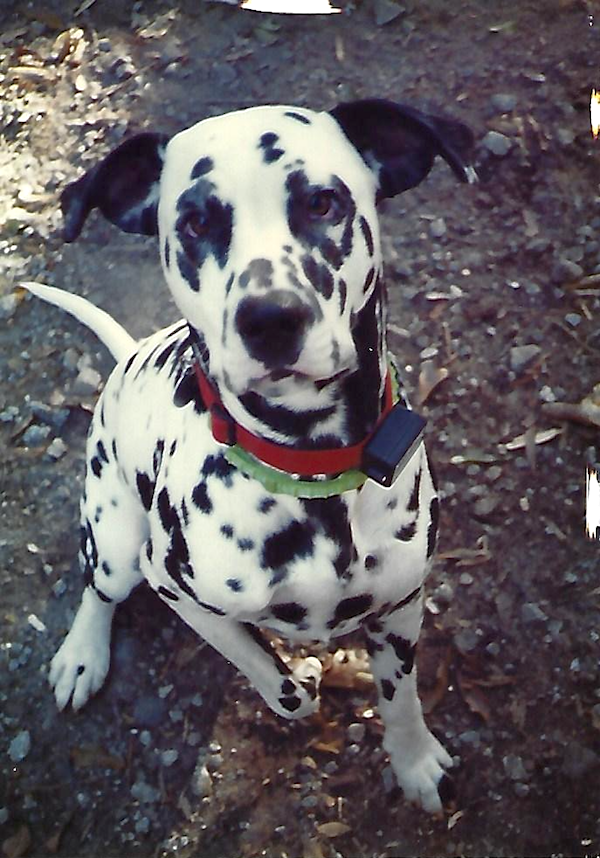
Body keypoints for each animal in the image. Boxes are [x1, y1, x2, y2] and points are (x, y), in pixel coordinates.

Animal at [23, 98, 476, 808]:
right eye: (196, 222)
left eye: (322, 202)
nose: (270, 318)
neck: (308, 469)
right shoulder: (176, 589)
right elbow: (272, 675)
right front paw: (296, 684)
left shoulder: (401, 606)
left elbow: (399, 698)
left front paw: (414, 762)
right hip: (118, 543)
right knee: (99, 586)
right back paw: (82, 653)